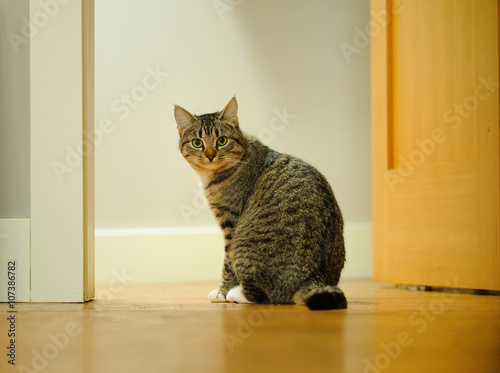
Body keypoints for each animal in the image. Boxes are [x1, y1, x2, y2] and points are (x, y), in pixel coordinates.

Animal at [176, 97, 348, 310]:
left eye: (221, 140)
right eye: (197, 142)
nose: (210, 155)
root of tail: (312, 277)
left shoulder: (231, 223)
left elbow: (227, 265)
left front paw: (222, 291)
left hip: (243, 247)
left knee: (264, 296)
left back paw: (236, 294)